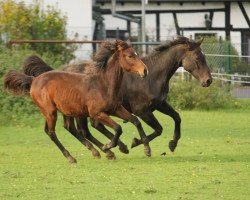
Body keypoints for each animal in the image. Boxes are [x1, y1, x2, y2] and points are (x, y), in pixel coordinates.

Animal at [3, 39, 148, 163]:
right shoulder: (97, 113)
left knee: (69, 128)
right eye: (130, 56)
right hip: (51, 112)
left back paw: (97, 152)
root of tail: (34, 80)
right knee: (52, 132)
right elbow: (118, 128)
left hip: (67, 111)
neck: (103, 85)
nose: (145, 70)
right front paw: (108, 146)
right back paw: (72, 157)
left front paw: (146, 149)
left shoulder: (115, 109)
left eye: (136, 54)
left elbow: (135, 120)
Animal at [22, 36, 212, 155]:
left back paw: (113, 148)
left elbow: (177, 117)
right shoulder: (142, 111)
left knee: (86, 128)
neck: (153, 76)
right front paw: (137, 143)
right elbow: (158, 129)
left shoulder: (159, 104)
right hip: (79, 112)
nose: (208, 80)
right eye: (197, 58)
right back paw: (109, 149)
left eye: (203, 56)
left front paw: (172, 144)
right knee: (83, 129)